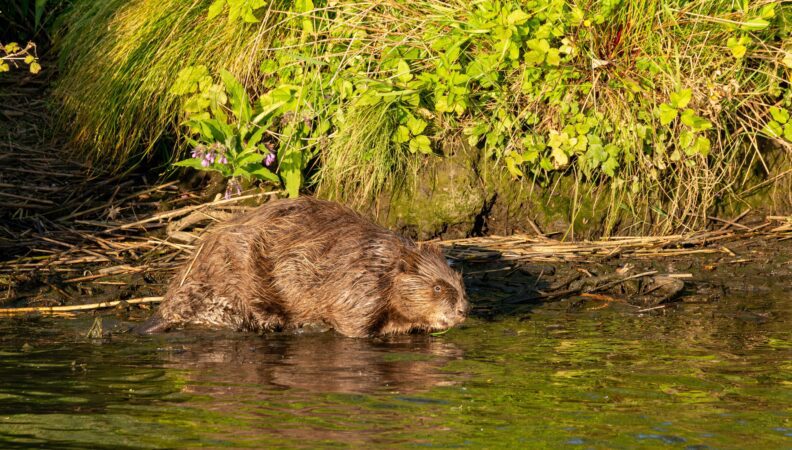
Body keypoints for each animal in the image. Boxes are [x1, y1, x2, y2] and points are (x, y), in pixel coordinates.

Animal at [138, 197, 468, 338]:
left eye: (459, 282)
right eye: (438, 287)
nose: (464, 310)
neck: (383, 262)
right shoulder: (361, 286)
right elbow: (353, 326)